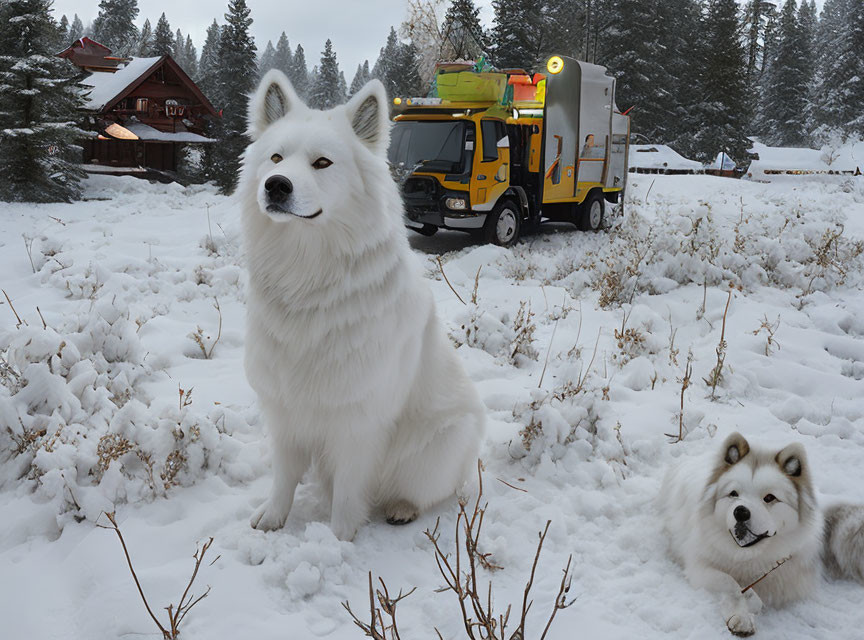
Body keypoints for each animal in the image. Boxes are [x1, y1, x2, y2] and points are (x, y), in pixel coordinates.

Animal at [240, 69, 486, 540]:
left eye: (322, 163)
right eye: (276, 158)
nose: (275, 186)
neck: (308, 275)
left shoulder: (358, 420)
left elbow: (348, 493)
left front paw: (336, 540)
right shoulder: (285, 409)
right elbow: (283, 476)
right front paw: (273, 517)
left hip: (437, 446)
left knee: (426, 491)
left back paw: (402, 508)